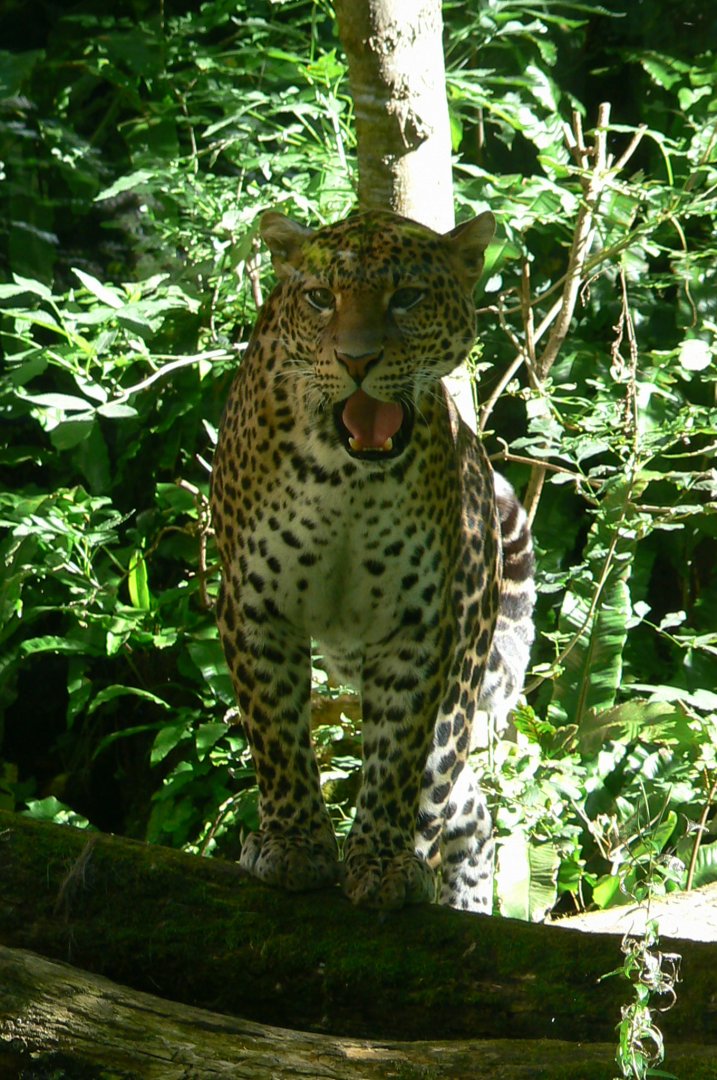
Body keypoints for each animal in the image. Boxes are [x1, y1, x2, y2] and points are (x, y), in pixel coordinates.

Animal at [211, 207, 535, 912]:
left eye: (406, 297)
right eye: (319, 298)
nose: (356, 360)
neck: (347, 477)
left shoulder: (419, 625)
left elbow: (397, 753)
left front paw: (382, 863)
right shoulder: (254, 608)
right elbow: (277, 734)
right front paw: (292, 847)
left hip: (466, 652)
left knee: (447, 784)